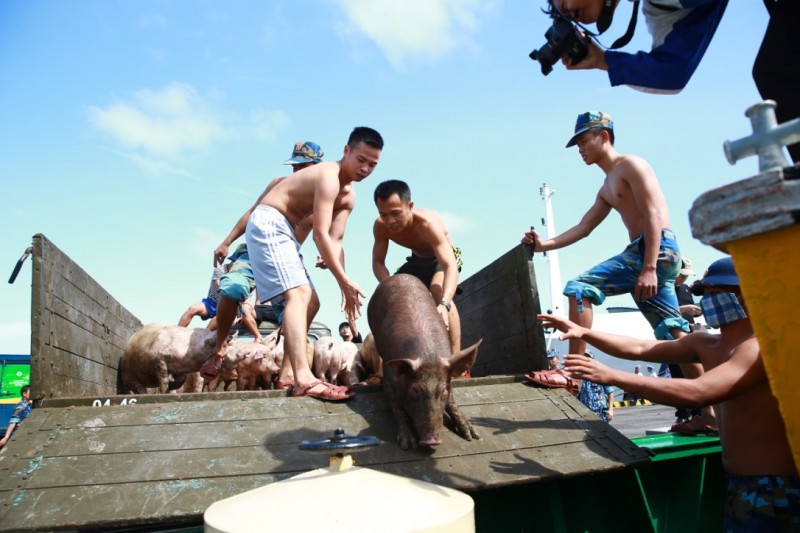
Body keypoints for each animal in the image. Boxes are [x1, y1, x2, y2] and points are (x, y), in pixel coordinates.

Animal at [368, 274, 482, 448]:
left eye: (443, 392)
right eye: (415, 390)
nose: (432, 439)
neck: (428, 355)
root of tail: (398, 275)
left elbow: (452, 401)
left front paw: (472, 436)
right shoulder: (388, 377)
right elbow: (396, 407)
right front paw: (408, 444)